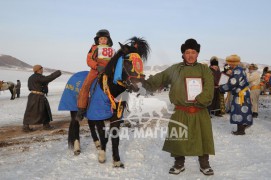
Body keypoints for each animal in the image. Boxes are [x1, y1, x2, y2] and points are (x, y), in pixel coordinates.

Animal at [58, 36, 151, 167]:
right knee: (76, 125)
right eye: (128, 62)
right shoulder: (99, 114)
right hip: (74, 111)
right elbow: (104, 136)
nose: (139, 86)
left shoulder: (115, 116)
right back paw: (77, 149)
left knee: (90, 125)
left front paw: (116, 161)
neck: (110, 88)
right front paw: (102, 156)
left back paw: (97, 144)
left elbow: (115, 138)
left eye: (141, 62)